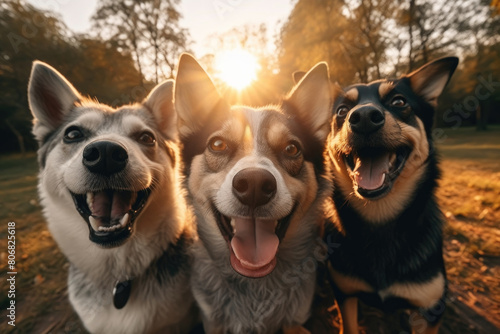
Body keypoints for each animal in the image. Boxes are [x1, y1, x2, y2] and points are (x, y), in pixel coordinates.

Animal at [324, 58, 458, 334]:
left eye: (399, 102)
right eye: (341, 111)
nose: (364, 117)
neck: (380, 218)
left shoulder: (430, 310)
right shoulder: (344, 293)